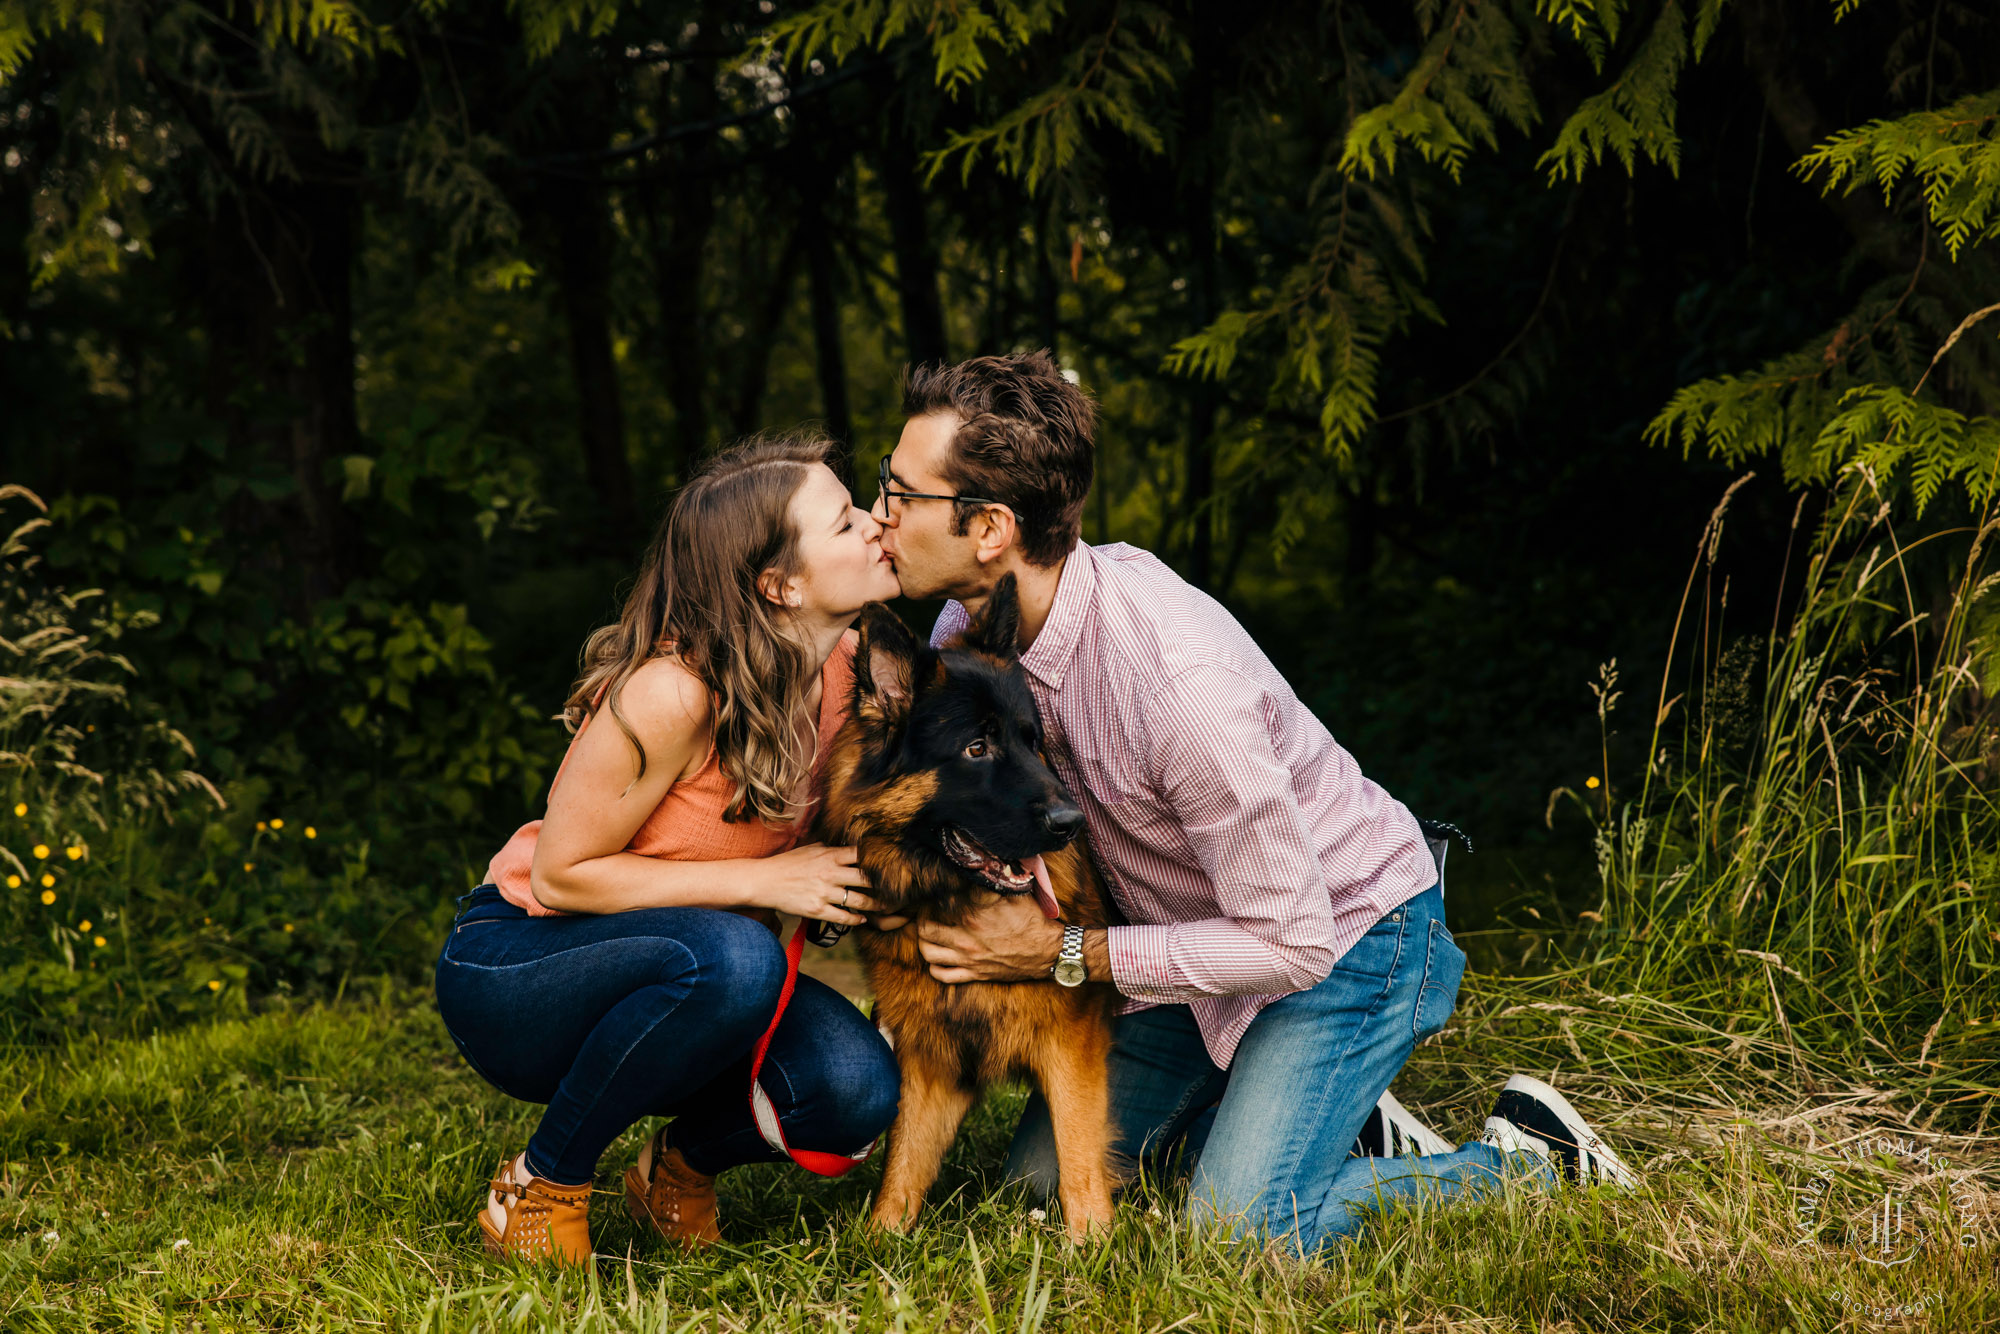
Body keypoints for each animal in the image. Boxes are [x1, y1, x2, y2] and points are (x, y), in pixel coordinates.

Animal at [816, 580, 1128, 1248]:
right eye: (976, 748)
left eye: (1033, 742)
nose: (1071, 825)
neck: (951, 895)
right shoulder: (930, 1056)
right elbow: (903, 1164)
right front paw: (881, 1244)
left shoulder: (1071, 1045)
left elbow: (1078, 1158)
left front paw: (1090, 1246)